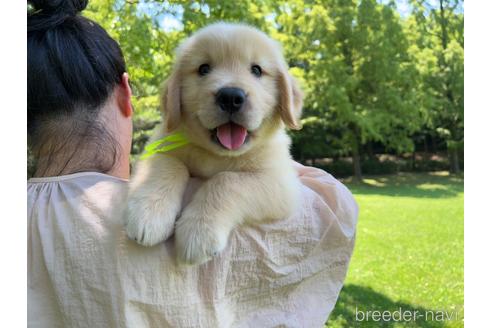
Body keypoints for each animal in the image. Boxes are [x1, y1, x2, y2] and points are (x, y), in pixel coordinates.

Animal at [126, 22, 304, 264]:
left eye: (257, 70)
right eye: (203, 69)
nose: (230, 97)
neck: (218, 154)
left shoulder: (279, 181)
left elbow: (226, 180)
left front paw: (198, 232)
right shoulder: (159, 148)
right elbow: (170, 165)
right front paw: (149, 213)